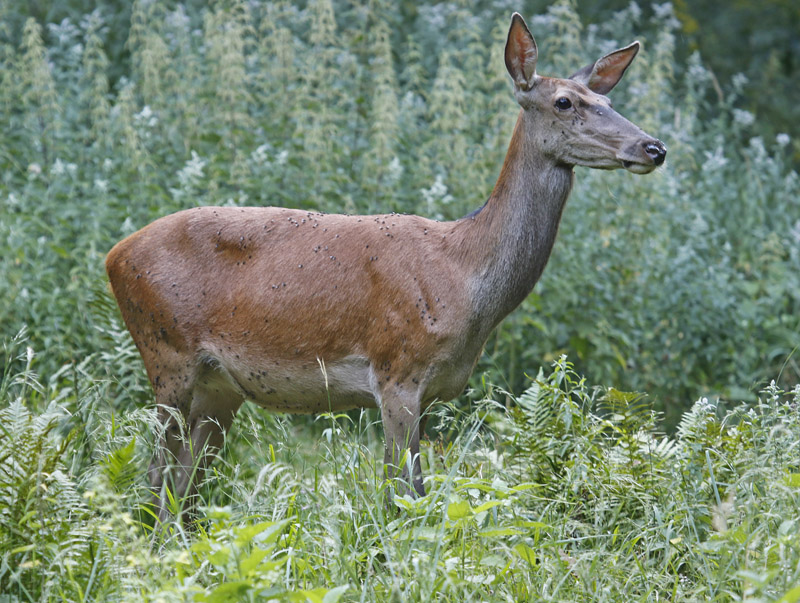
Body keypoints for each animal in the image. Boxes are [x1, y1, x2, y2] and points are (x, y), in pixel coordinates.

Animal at [108, 14, 668, 524]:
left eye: (609, 102)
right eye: (564, 102)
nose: (653, 147)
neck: (465, 276)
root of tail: (114, 256)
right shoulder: (398, 367)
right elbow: (403, 496)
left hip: (220, 387)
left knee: (184, 487)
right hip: (166, 352)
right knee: (156, 477)